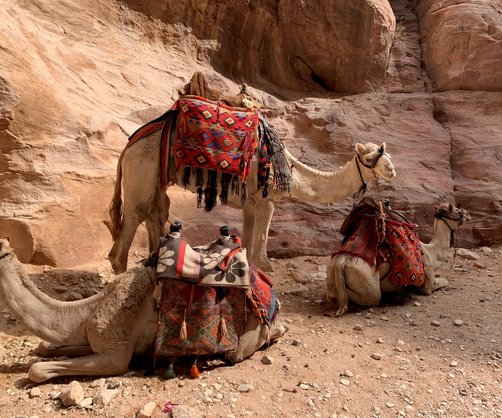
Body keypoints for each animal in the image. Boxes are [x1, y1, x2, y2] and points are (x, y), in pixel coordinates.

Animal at [0, 237, 286, 380]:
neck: (87, 311)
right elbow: (44, 347)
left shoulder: (114, 358)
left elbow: (37, 370)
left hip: (245, 335)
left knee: (238, 351)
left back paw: (279, 328)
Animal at [107, 130, 396, 274]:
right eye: (369, 156)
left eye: (387, 153)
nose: (392, 169)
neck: (290, 169)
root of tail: (126, 149)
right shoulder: (266, 200)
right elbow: (262, 241)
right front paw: (265, 269)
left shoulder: (249, 203)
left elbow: (245, 240)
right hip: (142, 169)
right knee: (134, 217)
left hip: (156, 177)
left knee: (156, 210)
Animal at [326, 202, 470, 316]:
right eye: (457, 210)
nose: (468, 214)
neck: (431, 252)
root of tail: (341, 262)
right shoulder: (427, 284)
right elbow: (444, 282)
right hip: (367, 282)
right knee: (371, 297)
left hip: (331, 271)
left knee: (333, 294)